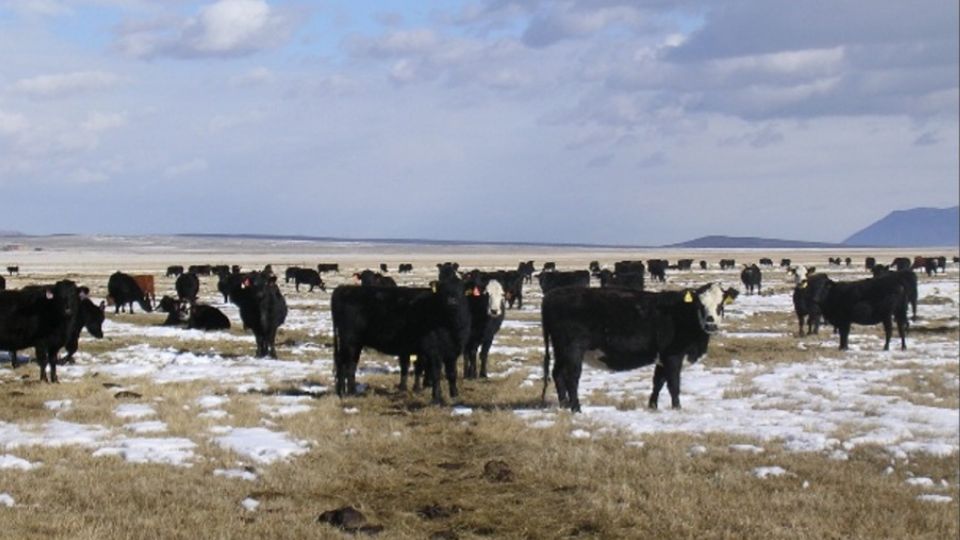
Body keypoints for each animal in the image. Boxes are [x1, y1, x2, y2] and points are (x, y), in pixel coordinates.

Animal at [331, 272, 471, 403]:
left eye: (461, 289)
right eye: (443, 290)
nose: (452, 301)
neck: (450, 326)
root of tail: (343, 288)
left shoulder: (453, 350)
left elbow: (452, 373)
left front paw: (455, 395)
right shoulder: (434, 350)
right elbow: (435, 374)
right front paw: (436, 398)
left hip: (355, 343)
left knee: (351, 364)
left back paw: (350, 392)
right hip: (349, 341)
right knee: (344, 364)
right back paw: (345, 393)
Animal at [540, 283, 738, 412]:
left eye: (720, 304)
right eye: (700, 304)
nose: (711, 324)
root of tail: (552, 295)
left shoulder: (661, 357)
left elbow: (658, 382)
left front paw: (653, 406)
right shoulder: (673, 355)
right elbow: (673, 384)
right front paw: (677, 407)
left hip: (561, 350)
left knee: (557, 374)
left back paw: (563, 405)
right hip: (573, 350)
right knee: (571, 378)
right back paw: (576, 408)